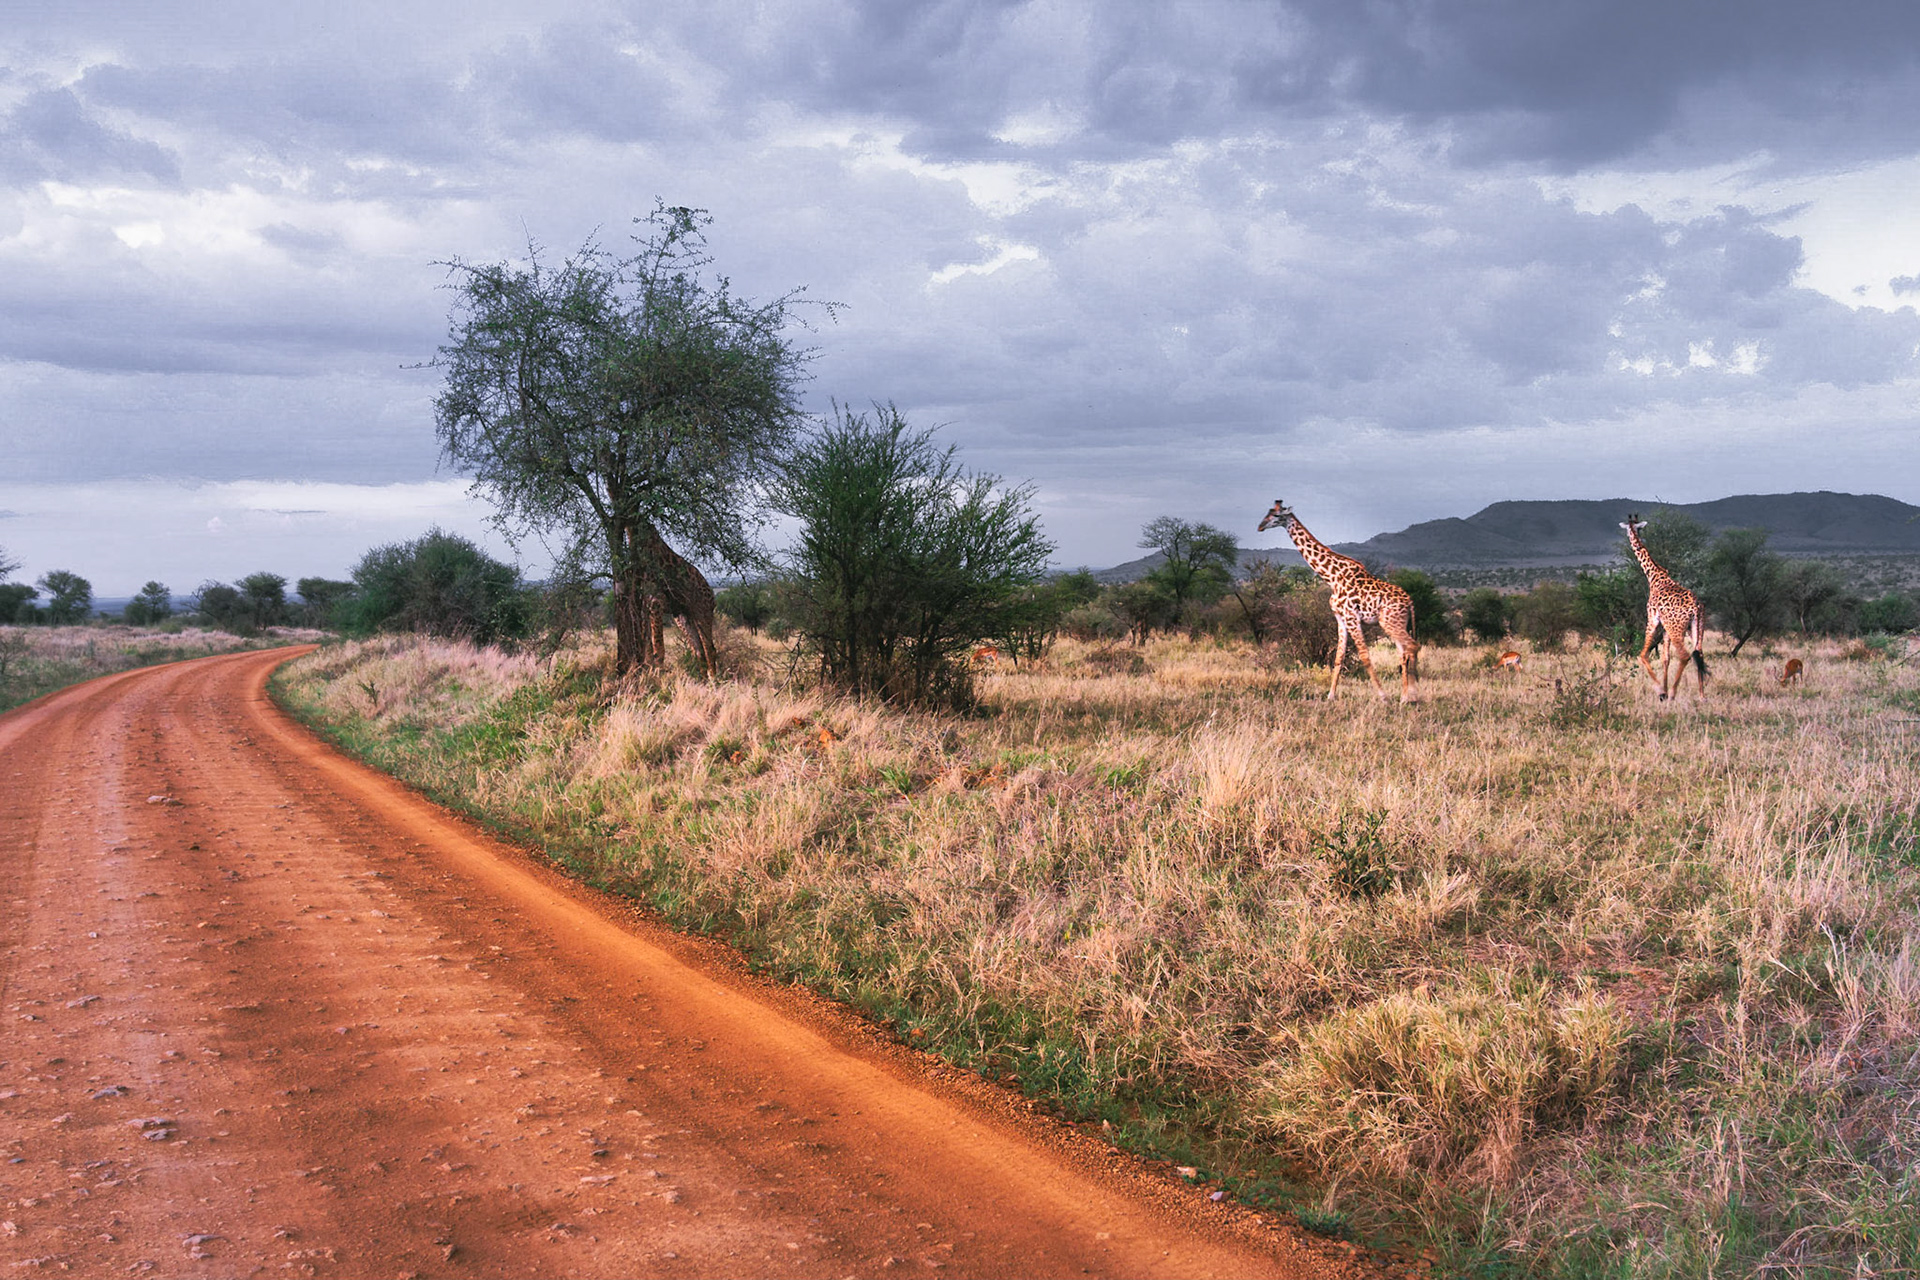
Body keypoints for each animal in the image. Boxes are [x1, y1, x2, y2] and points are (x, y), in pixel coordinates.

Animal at [1257, 499, 1420, 702]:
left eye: (1277, 515)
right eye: (1268, 512)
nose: (1260, 526)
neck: (1331, 576)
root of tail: (1410, 602)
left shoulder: (1351, 617)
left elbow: (1364, 655)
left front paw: (1383, 696)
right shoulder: (1340, 618)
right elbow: (1339, 656)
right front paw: (1330, 695)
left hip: (1390, 622)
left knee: (1413, 647)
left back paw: (1413, 695)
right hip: (1395, 623)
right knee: (1404, 653)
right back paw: (1405, 697)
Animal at [1620, 514, 1709, 701]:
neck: (1654, 576)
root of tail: (1696, 607)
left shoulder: (1652, 619)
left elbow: (1643, 655)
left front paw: (1662, 691)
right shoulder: (1665, 628)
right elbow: (1665, 658)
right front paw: (1665, 689)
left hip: (1677, 629)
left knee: (1685, 655)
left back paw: (1674, 693)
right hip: (1697, 628)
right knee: (1699, 653)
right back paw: (1701, 695)